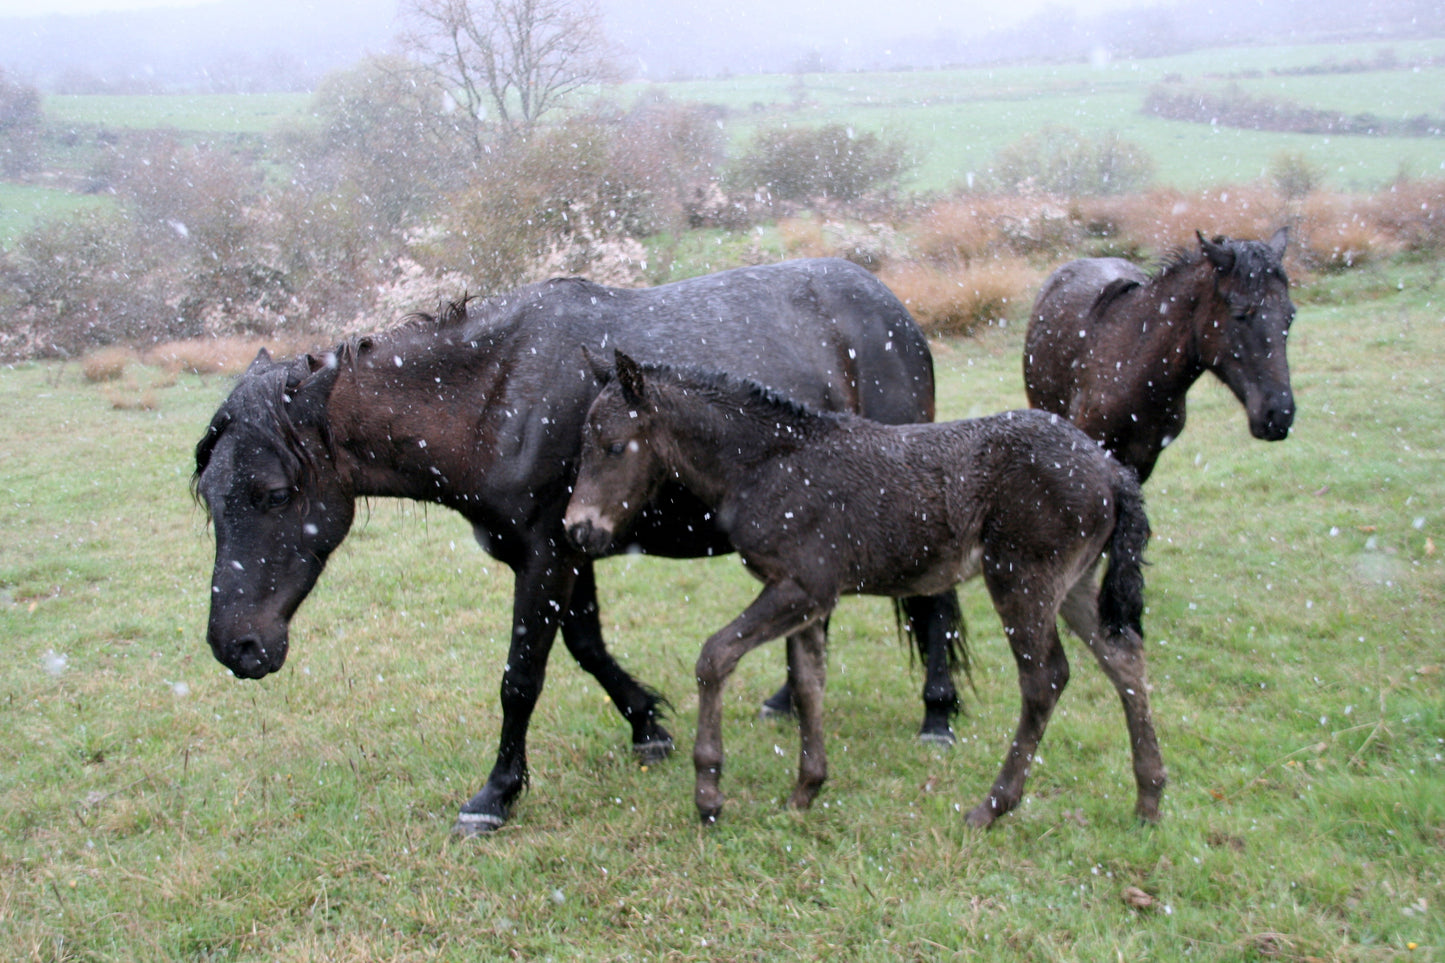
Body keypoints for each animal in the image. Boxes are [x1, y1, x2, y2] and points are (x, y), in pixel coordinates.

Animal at [192, 260, 959, 832]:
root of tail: (891, 306)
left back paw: (938, 714)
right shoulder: (568, 548)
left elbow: (521, 676)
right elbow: (587, 647)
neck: (496, 395)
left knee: (934, 601)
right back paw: (787, 701)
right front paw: (647, 725)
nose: (237, 647)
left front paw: (495, 794)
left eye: (272, 494)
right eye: (208, 495)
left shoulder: (545, 557)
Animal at [563, 352, 1161, 827]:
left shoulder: (803, 587)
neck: (768, 464)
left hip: (1021, 577)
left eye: (613, 446)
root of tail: (1113, 471)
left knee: (1045, 679)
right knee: (1123, 659)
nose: (577, 529)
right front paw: (805, 791)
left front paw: (709, 793)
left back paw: (992, 807)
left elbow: (715, 657)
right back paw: (1149, 799)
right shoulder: (803, 597)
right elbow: (808, 683)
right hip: (1075, 583)